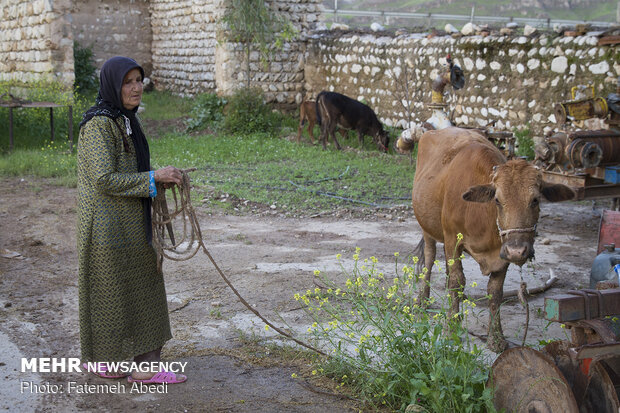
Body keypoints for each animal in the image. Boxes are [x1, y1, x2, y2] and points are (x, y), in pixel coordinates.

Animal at [404, 126, 572, 350]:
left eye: (535, 200)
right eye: (498, 200)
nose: (518, 250)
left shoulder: (501, 252)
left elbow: (495, 291)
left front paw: (496, 338)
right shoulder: (452, 238)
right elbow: (457, 281)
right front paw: (450, 328)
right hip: (427, 227)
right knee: (430, 259)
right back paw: (422, 301)